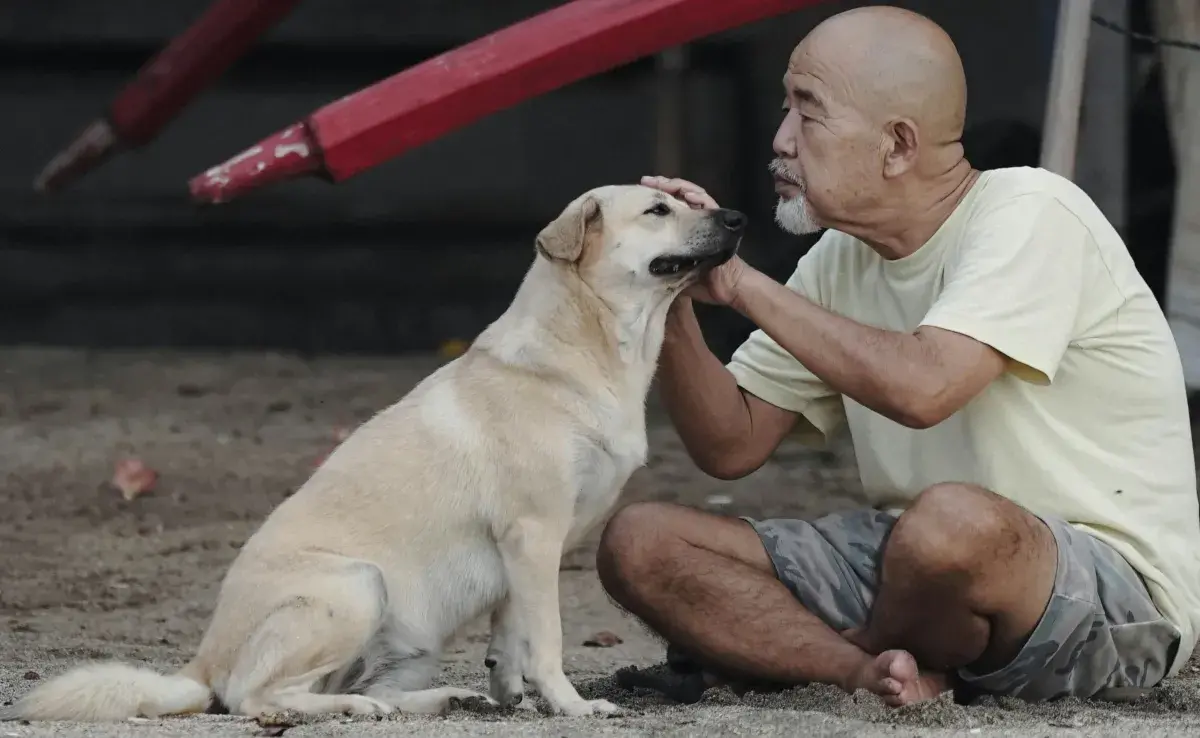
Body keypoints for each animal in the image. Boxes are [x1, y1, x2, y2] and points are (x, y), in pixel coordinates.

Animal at [0, 183, 744, 720]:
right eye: (658, 209)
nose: (737, 216)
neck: (586, 347)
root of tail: (200, 661)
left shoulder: (520, 554)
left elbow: (510, 635)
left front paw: (508, 694)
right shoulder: (534, 536)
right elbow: (548, 640)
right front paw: (569, 705)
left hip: (408, 631)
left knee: (355, 685)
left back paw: (434, 699)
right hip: (358, 585)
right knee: (253, 699)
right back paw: (354, 709)